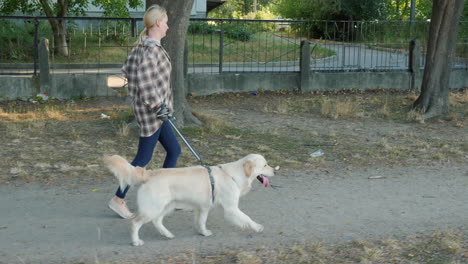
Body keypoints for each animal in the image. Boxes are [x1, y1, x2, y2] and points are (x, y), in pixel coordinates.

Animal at [103, 154, 274, 246]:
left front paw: (203, 232)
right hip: (153, 208)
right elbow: (247, 218)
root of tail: (149, 173)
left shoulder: (204, 207)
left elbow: (202, 221)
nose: (275, 170)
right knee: (135, 223)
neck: (235, 174)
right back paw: (136, 241)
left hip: (165, 206)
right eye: (265, 165)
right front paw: (258, 227)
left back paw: (167, 234)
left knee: (157, 221)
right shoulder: (231, 208)